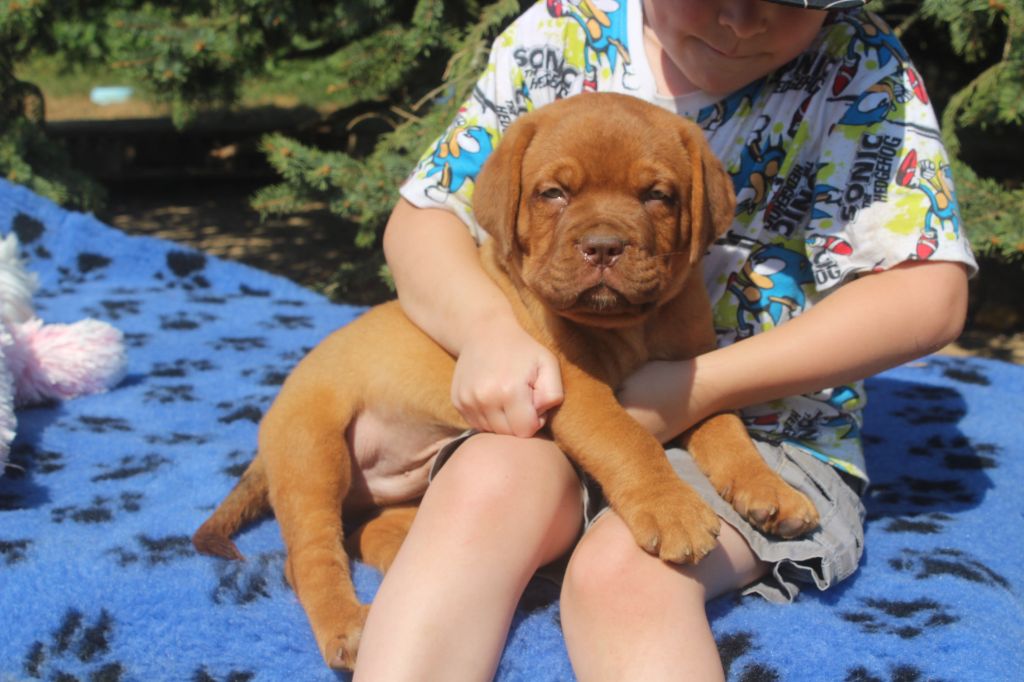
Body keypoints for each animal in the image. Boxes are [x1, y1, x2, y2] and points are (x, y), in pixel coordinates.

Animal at [190, 91, 815, 667]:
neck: (630, 326)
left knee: (362, 530)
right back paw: (347, 624)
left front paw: (771, 492)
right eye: (554, 193)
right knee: (309, 555)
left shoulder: (691, 368)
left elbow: (727, 428)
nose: (604, 247)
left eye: (656, 196)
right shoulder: (568, 385)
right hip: (312, 450)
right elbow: (627, 438)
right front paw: (673, 509)